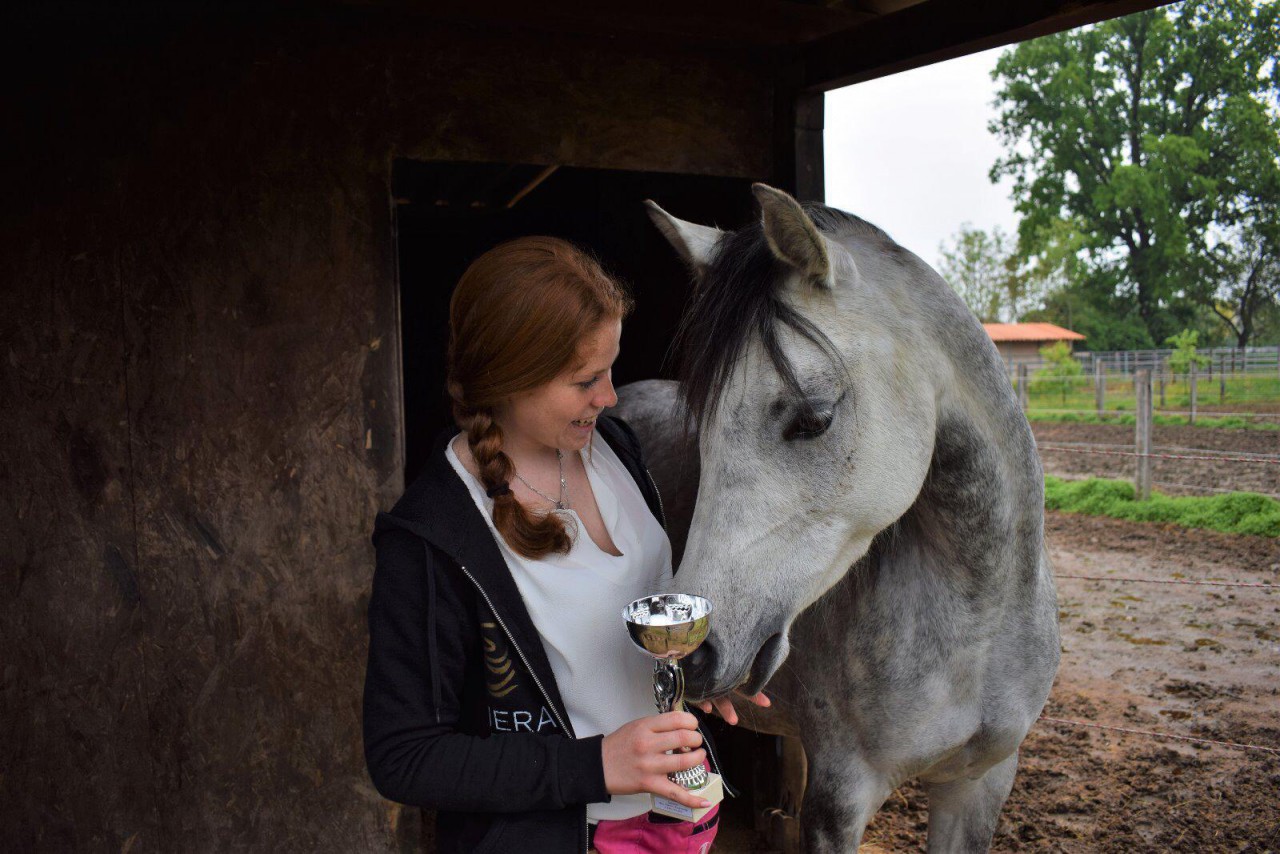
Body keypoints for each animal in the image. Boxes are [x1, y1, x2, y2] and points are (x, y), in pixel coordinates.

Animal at [616, 184, 1059, 850]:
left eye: (814, 417)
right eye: (704, 427)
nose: (694, 658)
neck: (977, 630)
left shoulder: (980, 783)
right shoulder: (842, 800)